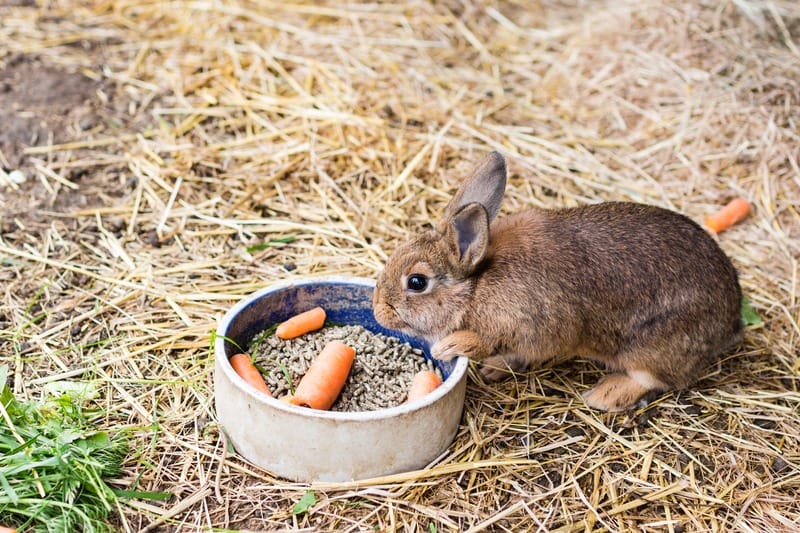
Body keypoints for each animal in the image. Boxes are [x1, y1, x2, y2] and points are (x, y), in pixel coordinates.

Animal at [376, 150, 744, 412]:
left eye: (417, 282)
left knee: (656, 379)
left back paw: (605, 395)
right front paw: (495, 368)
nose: (378, 312)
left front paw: (453, 345)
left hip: (650, 348)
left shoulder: (536, 325)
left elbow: (493, 340)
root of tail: (732, 320)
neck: (477, 285)